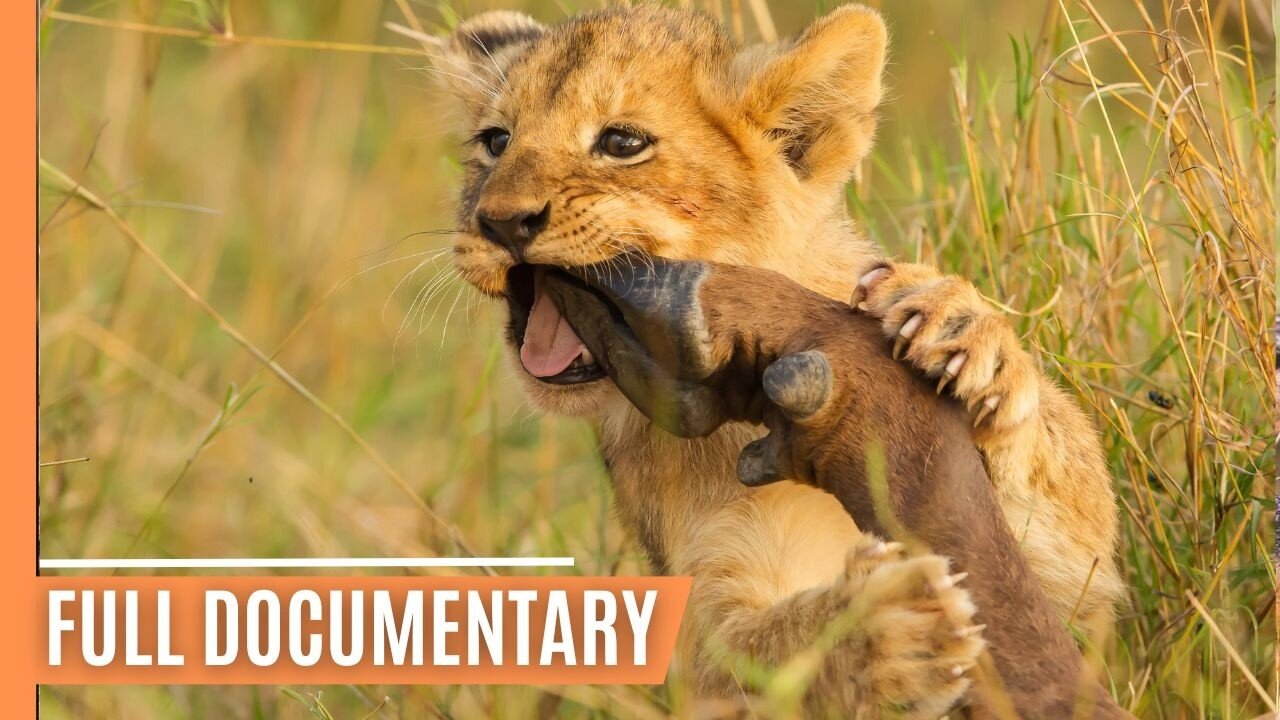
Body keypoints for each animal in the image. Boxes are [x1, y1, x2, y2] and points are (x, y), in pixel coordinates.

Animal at [428, 3, 1122, 715]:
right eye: (496, 141)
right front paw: (886, 628)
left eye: (622, 143)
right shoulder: (705, 603)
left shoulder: (1077, 590)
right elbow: (754, 652)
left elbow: (1080, 536)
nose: (501, 221)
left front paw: (964, 333)